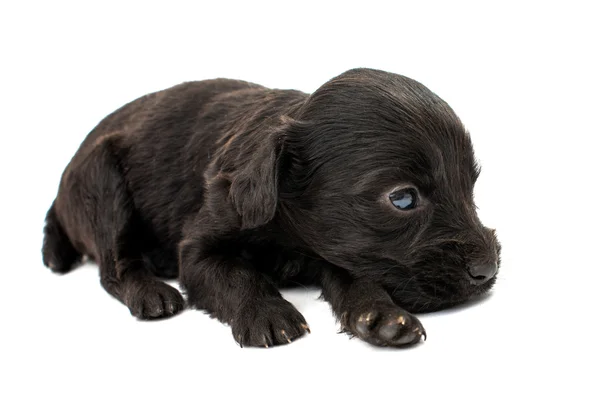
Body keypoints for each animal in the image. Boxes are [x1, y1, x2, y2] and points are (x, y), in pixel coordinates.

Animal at [42, 67, 500, 348]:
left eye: (471, 187)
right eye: (402, 198)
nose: (488, 270)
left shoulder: (333, 249)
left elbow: (359, 278)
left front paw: (385, 317)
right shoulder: (200, 246)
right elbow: (235, 273)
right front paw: (267, 312)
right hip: (102, 182)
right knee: (114, 266)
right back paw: (152, 291)